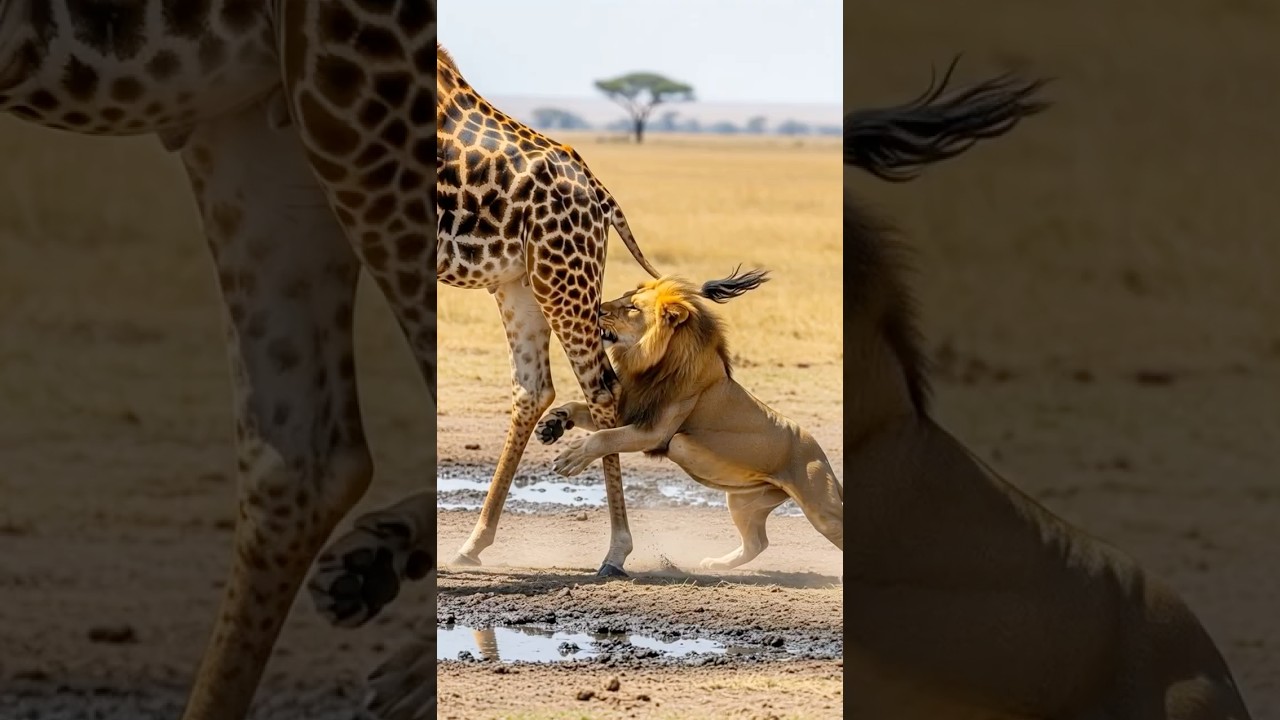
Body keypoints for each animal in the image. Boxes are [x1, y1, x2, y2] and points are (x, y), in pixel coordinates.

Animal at [534, 268, 843, 570]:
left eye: (632, 307)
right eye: (624, 296)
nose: (596, 308)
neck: (652, 364)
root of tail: (820, 453)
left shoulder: (654, 431)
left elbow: (604, 437)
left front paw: (571, 457)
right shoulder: (630, 411)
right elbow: (577, 409)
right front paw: (552, 424)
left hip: (820, 507)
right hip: (742, 501)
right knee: (757, 543)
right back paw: (715, 564)